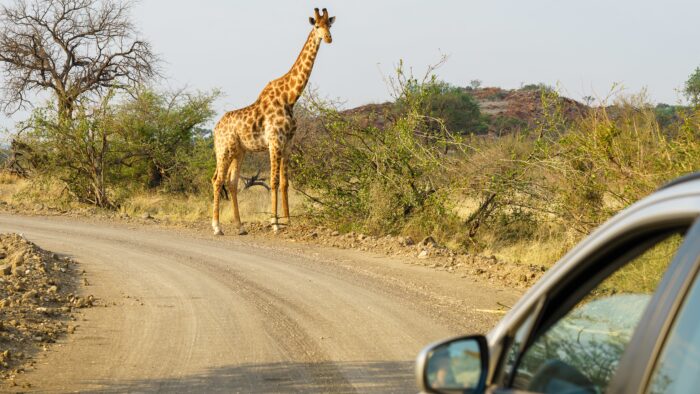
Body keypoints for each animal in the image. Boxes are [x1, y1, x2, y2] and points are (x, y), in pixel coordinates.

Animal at [211, 7, 336, 235]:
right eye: (316, 26)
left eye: (329, 25)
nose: (329, 38)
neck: (290, 97)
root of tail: (215, 129)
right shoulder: (274, 141)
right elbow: (274, 180)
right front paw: (275, 223)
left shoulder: (288, 143)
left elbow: (285, 182)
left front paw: (288, 221)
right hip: (224, 150)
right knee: (217, 180)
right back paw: (217, 227)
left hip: (239, 151)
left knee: (231, 182)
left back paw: (240, 226)